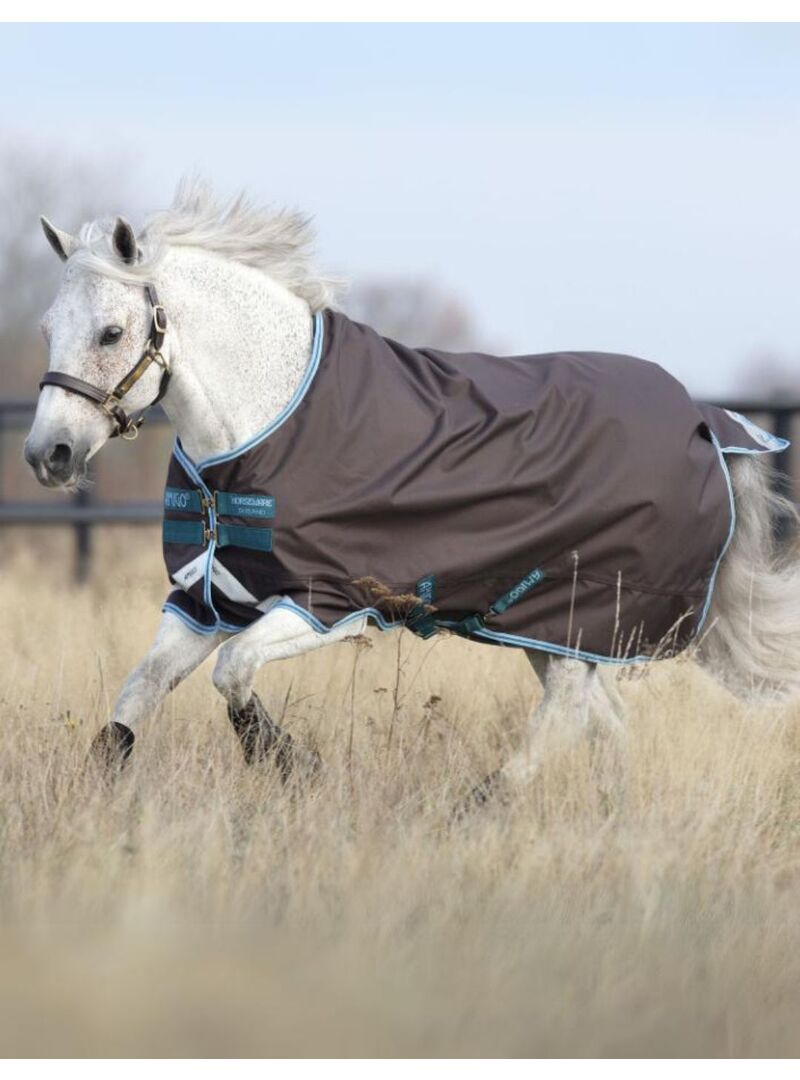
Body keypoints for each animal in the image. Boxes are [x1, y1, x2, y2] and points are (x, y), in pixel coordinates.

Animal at [23, 181, 800, 793]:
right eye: (50, 327)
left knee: (567, 718)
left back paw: (482, 804)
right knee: (601, 722)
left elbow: (234, 675)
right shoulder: (206, 600)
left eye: (111, 331)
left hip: (577, 617)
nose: (47, 455)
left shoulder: (327, 604)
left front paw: (290, 766)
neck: (270, 421)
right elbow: (137, 696)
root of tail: (706, 420)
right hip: (548, 626)